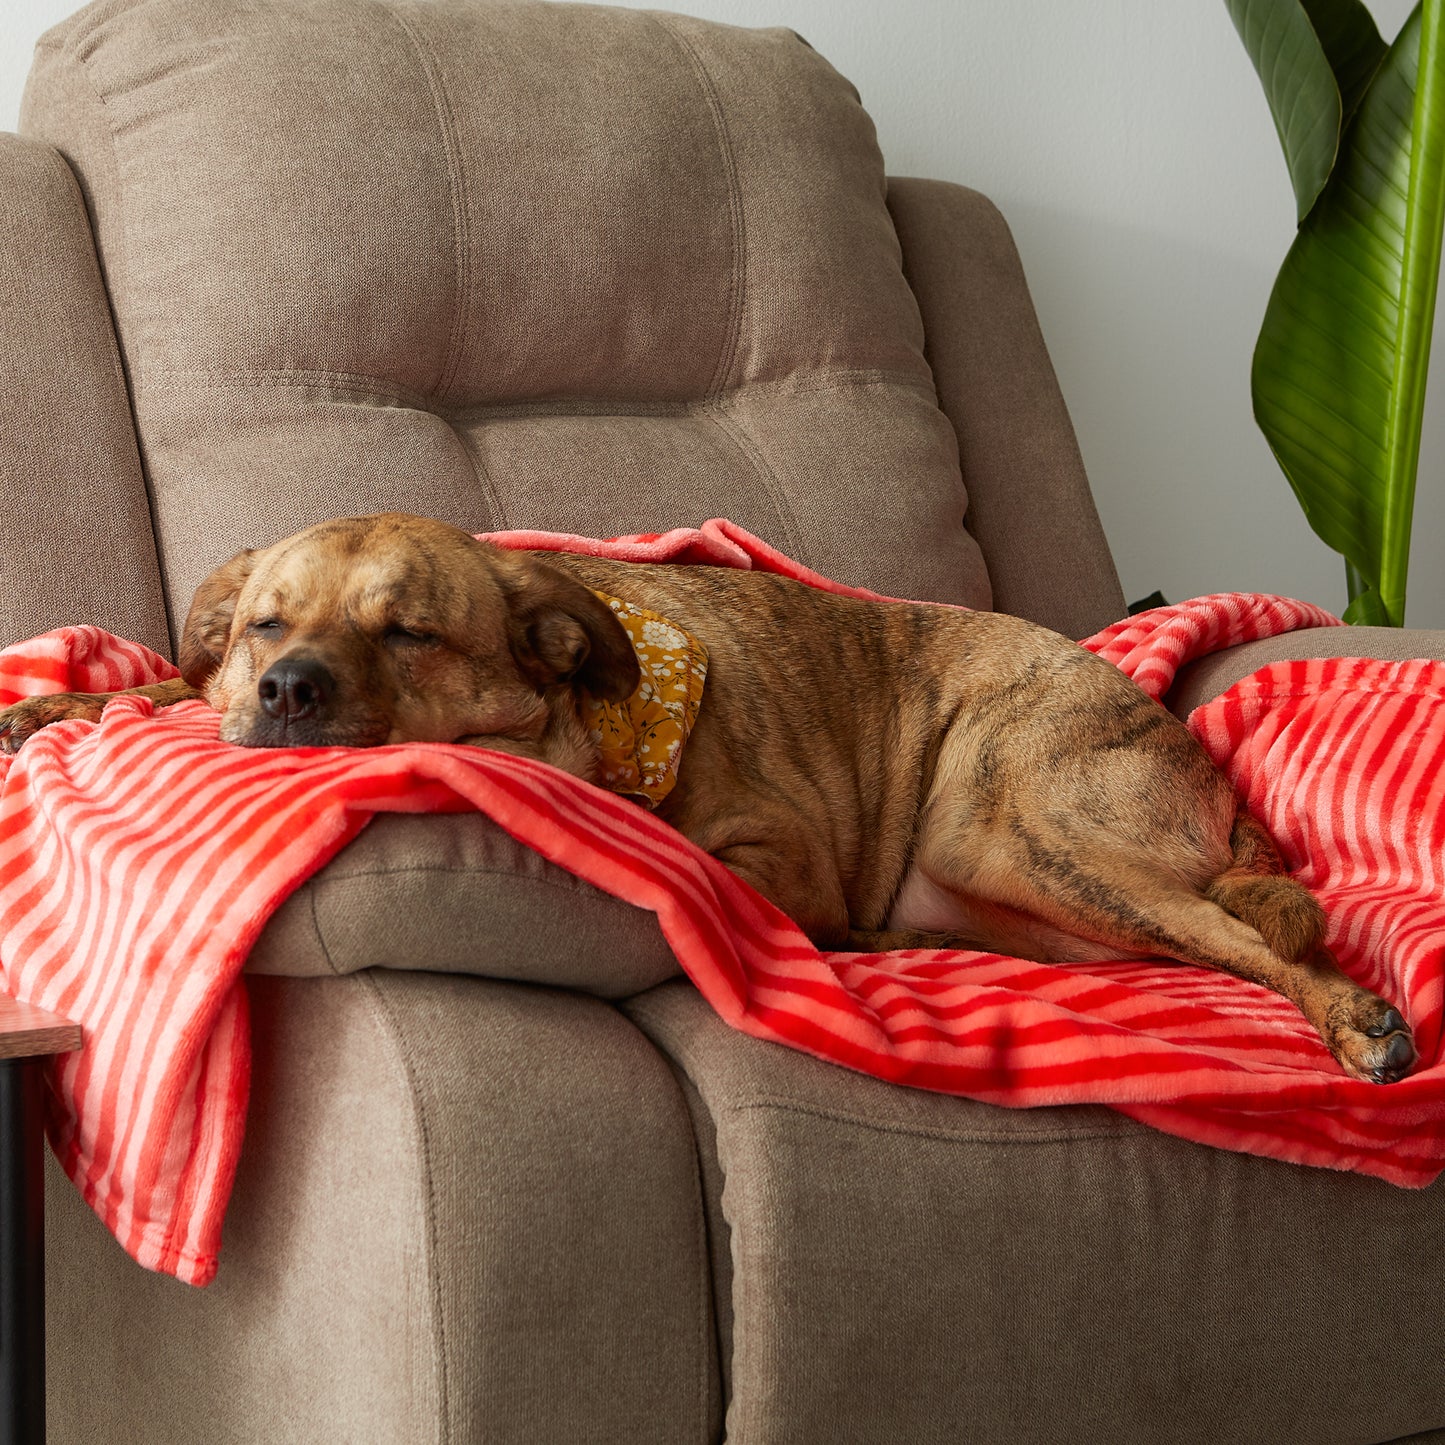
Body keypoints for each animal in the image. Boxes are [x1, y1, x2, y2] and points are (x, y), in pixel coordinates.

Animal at [0, 511, 1416, 1086]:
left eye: (407, 633)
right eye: (263, 623)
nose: (285, 690)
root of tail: (1199, 761)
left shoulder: (773, 841)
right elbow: (158, 690)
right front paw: (54, 707)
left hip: (1014, 824)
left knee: (1249, 943)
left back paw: (1356, 1022)